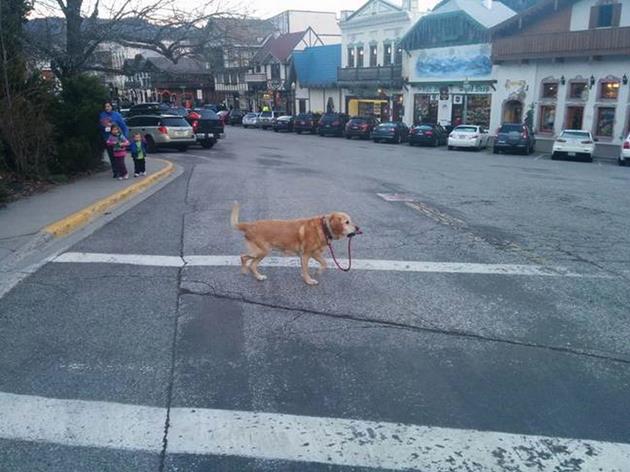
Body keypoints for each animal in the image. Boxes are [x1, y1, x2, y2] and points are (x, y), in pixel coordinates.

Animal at [232, 202, 360, 284]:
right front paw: (309, 280)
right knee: (244, 257)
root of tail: (249, 225)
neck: (324, 227)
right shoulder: (306, 255)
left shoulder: (315, 253)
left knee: (251, 264)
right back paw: (246, 271)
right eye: (347, 222)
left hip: (261, 252)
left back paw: (257, 276)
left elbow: (324, 263)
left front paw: (318, 272)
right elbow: (306, 269)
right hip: (262, 251)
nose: (358, 228)